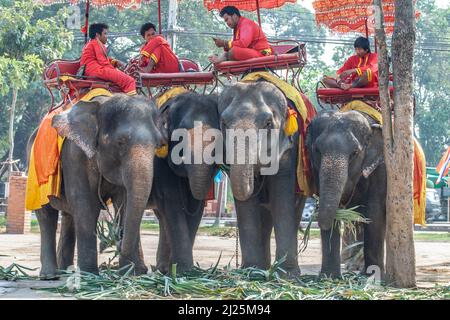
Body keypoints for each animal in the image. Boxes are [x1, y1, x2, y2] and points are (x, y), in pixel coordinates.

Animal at [26, 93, 164, 278]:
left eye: (158, 145)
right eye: (120, 142)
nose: (145, 270)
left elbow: (124, 203)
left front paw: (130, 273)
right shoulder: (74, 154)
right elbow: (84, 203)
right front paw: (90, 275)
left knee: (69, 216)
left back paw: (66, 272)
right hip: (35, 173)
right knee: (47, 216)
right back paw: (50, 275)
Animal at [149, 91, 221, 274]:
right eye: (180, 137)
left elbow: (195, 205)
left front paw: (182, 271)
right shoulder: (160, 162)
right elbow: (172, 201)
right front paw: (182, 270)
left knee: (161, 218)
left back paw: (161, 268)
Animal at [218, 80, 306, 276]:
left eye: (268, 123)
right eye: (224, 123)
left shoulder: (290, 149)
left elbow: (281, 199)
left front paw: (287, 274)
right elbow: (247, 206)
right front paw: (251, 271)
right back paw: (262, 269)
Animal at [306, 109, 386, 278]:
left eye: (355, 152)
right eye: (317, 150)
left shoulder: (381, 168)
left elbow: (374, 211)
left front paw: (373, 275)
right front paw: (329, 277)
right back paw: (353, 266)